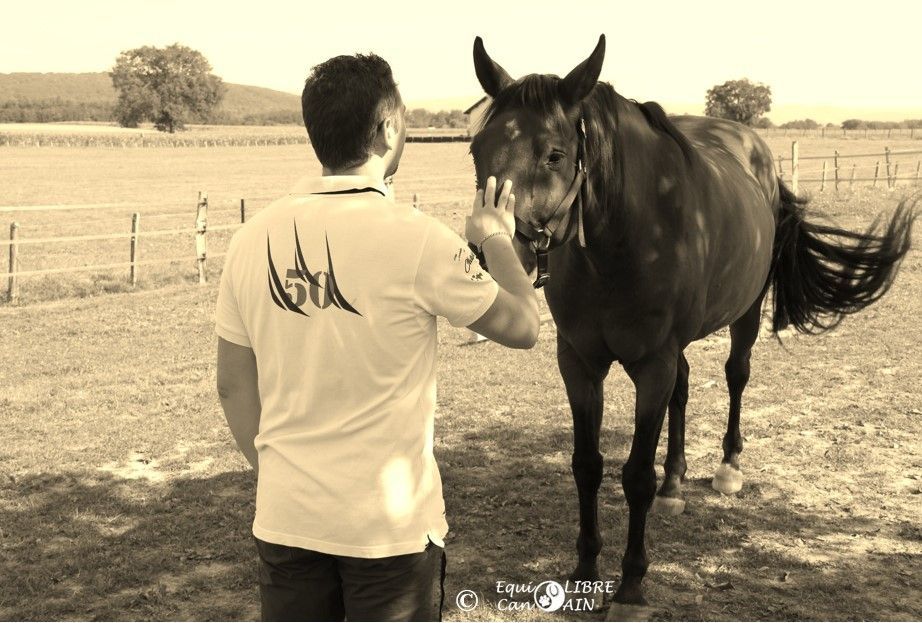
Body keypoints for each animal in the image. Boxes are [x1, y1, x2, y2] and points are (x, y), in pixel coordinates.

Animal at [468, 34, 915, 610]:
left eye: (555, 154)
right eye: (477, 150)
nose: (490, 252)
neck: (625, 241)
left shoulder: (651, 364)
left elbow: (635, 474)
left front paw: (631, 585)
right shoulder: (580, 364)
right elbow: (587, 465)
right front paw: (585, 567)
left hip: (744, 316)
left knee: (736, 375)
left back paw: (728, 469)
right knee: (682, 391)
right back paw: (674, 486)